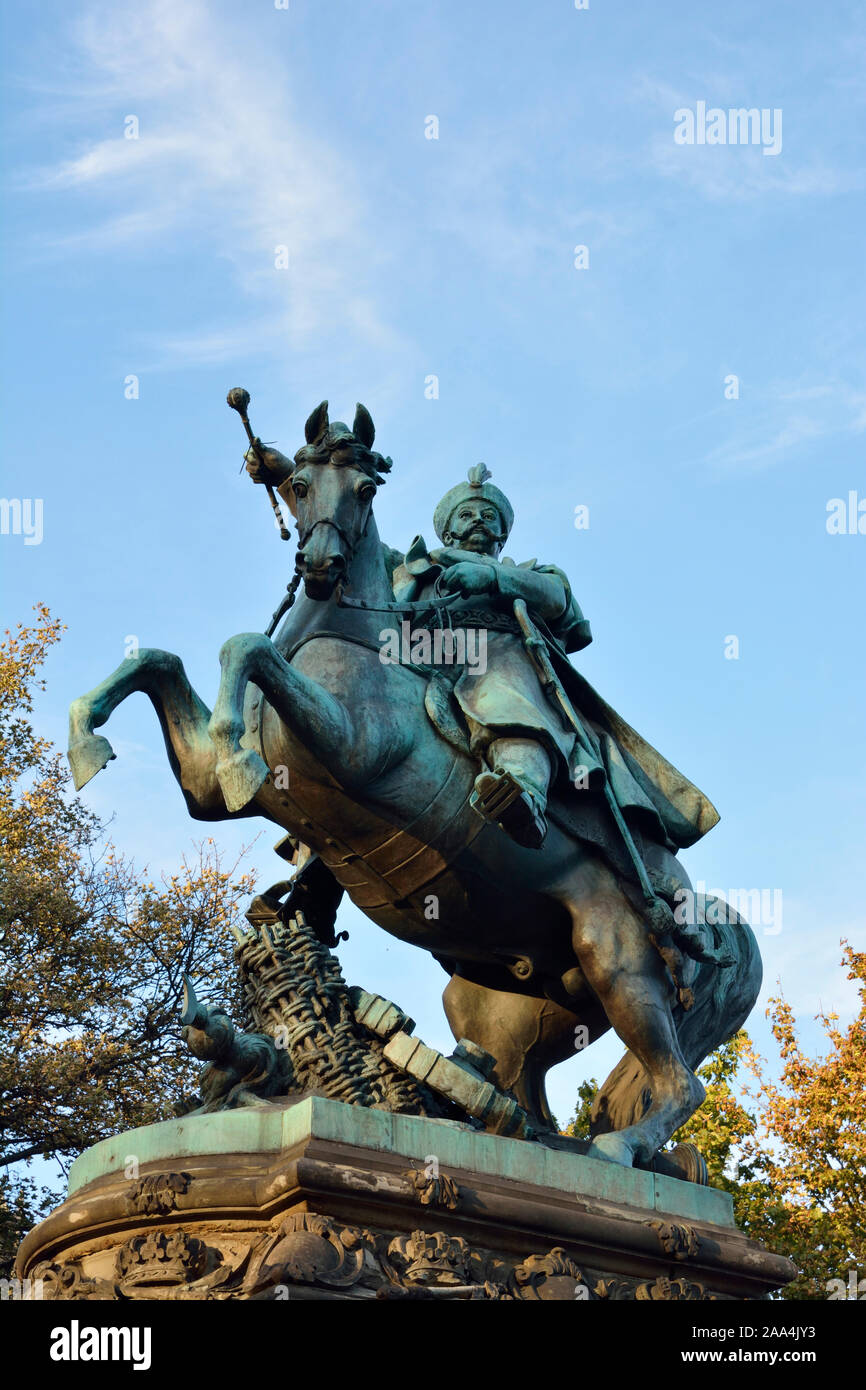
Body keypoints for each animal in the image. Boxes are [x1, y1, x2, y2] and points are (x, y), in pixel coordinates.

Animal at [66, 403, 756, 1173]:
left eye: (365, 488)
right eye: (298, 484)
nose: (321, 566)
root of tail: (707, 911)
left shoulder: (352, 748)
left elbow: (247, 646)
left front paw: (236, 743)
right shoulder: (204, 792)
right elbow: (161, 661)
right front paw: (86, 735)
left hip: (619, 961)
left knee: (680, 1084)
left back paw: (617, 1149)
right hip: (509, 1005)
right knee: (524, 1095)